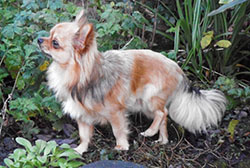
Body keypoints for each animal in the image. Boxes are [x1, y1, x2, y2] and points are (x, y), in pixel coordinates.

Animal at [38, 9, 228, 154]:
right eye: (48, 35)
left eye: (55, 43)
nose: (39, 39)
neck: (74, 75)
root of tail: (179, 70)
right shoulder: (82, 115)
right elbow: (84, 135)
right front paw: (79, 150)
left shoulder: (115, 112)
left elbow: (118, 130)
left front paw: (122, 146)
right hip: (146, 105)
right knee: (164, 117)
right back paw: (162, 140)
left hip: (149, 97)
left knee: (162, 113)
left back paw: (150, 131)